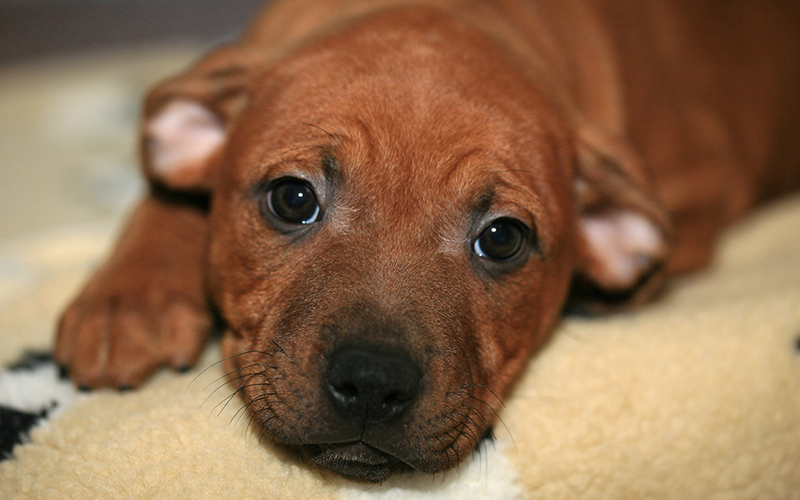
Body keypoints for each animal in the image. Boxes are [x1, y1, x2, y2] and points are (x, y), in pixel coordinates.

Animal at [56, 0, 800, 484]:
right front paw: (127, 300)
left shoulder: (704, 178)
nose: (371, 384)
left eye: (502, 239)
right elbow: (169, 190)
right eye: (293, 199)